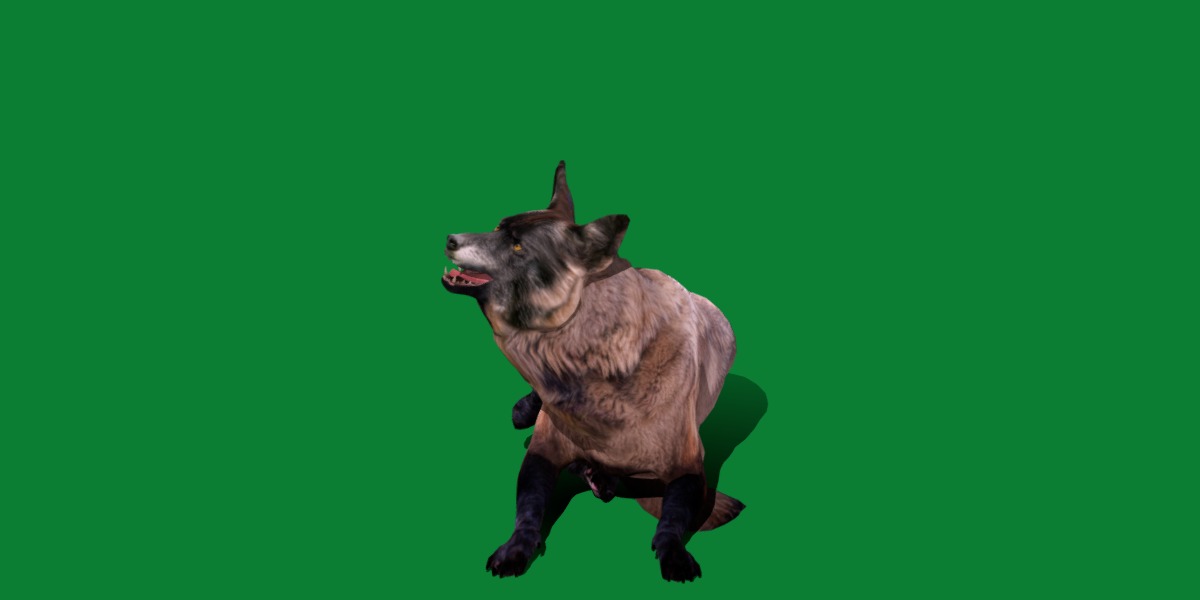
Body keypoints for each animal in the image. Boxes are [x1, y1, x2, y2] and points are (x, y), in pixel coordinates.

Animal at [441, 162, 742, 582]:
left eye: (517, 246)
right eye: (498, 227)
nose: (450, 238)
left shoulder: (688, 466)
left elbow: (672, 517)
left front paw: (673, 552)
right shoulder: (541, 453)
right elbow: (527, 508)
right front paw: (516, 547)